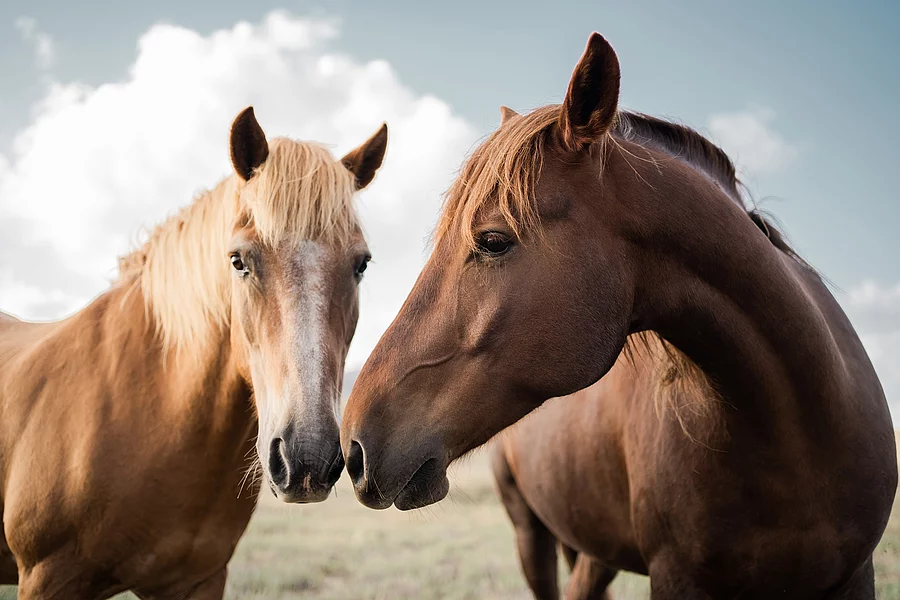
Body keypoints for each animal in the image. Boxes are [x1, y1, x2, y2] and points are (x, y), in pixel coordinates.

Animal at [340, 32, 897, 599]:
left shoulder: (855, 575)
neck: (795, 437)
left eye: (493, 241)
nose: (353, 446)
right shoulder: (676, 577)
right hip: (530, 532)